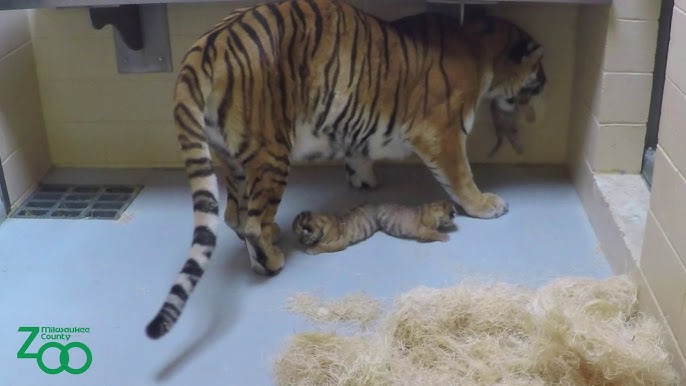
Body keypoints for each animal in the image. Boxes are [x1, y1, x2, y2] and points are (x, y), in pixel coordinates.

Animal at [146, 0, 548, 338]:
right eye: (538, 68)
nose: (545, 84)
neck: (482, 50)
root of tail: (205, 47)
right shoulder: (442, 132)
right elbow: (461, 175)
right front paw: (485, 204)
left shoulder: (357, 121)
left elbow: (358, 151)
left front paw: (364, 180)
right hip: (271, 152)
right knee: (251, 223)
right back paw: (271, 261)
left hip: (230, 158)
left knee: (234, 214)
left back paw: (273, 234)